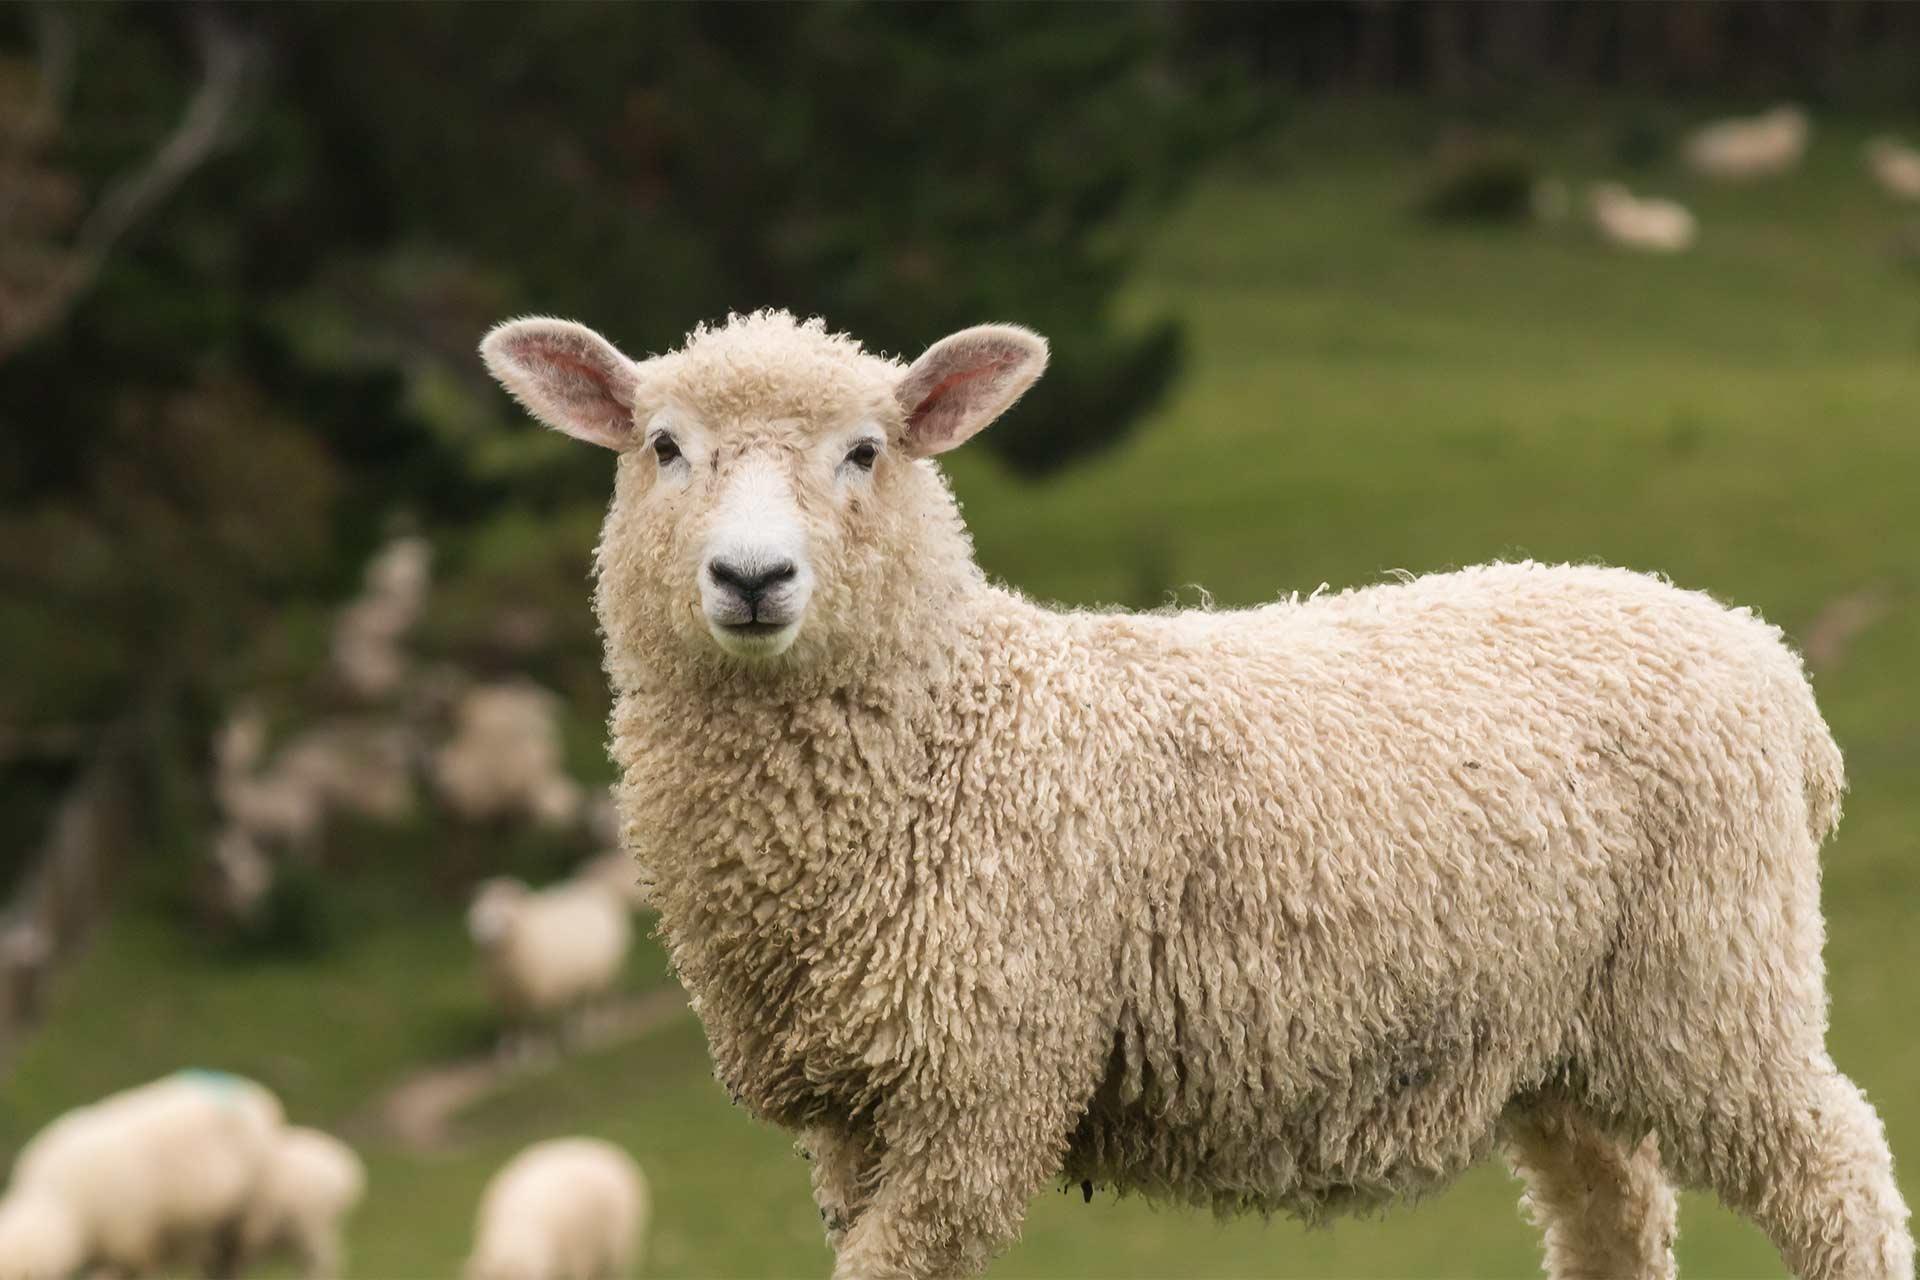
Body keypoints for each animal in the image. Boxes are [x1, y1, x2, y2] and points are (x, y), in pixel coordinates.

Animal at [483, 310, 1920, 1280]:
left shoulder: (980, 1091)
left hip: (1716, 980)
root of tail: (1767, 662)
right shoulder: (852, 1113)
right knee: (1615, 1217)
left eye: (866, 451)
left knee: (1837, 1171)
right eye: (663, 446)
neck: (956, 726)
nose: (751, 579)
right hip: (1564, 1038)